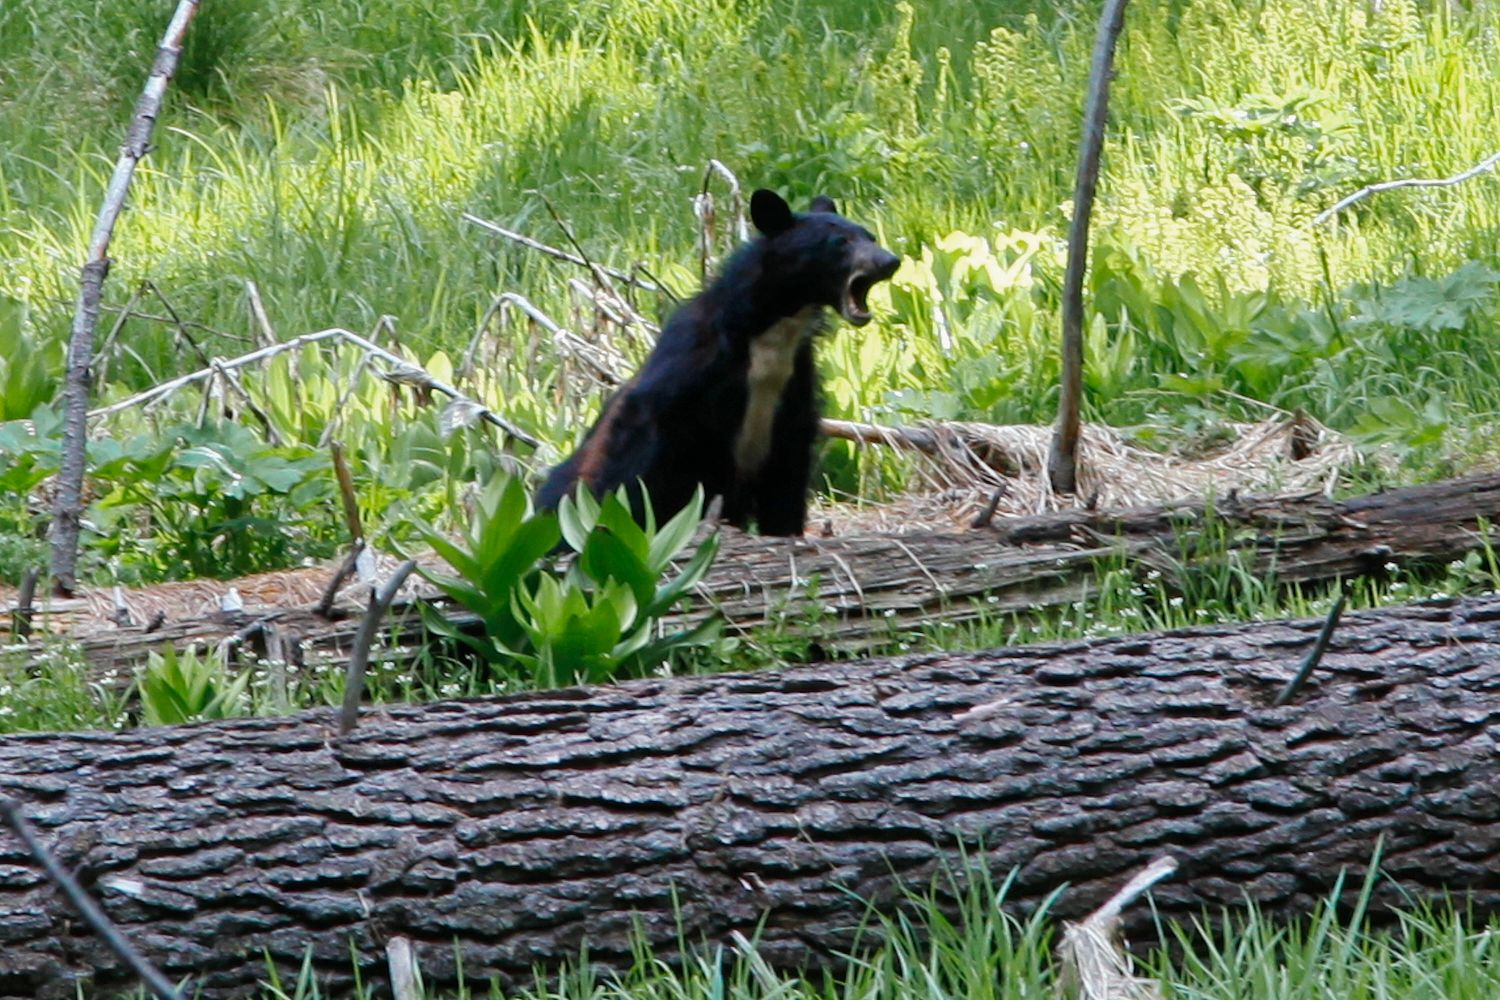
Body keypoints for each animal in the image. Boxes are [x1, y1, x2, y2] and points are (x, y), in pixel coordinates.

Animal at [537, 185, 894, 530]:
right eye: (839, 242)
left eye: (870, 236)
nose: (890, 261)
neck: (771, 333)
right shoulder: (683, 385)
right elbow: (642, 480)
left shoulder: (794, 388)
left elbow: (787, 480)